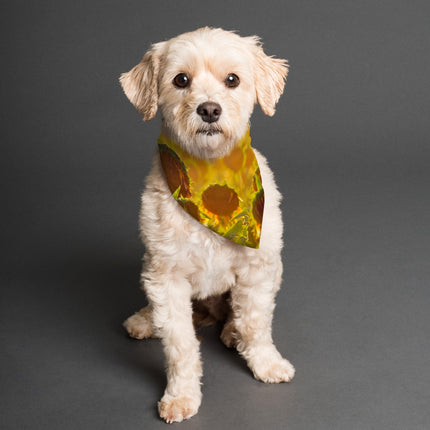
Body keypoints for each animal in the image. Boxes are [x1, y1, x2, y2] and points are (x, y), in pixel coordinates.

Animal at [121, 27, 296, 424]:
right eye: (180, 80)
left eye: (232, 80)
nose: (209, 109)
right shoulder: (166, 276)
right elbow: (179, 344)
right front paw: (181, 394)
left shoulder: (258, 268)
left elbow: (255, 322)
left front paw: (265, 362)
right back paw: (145, 320)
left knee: (235, 314)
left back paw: (231, 331)